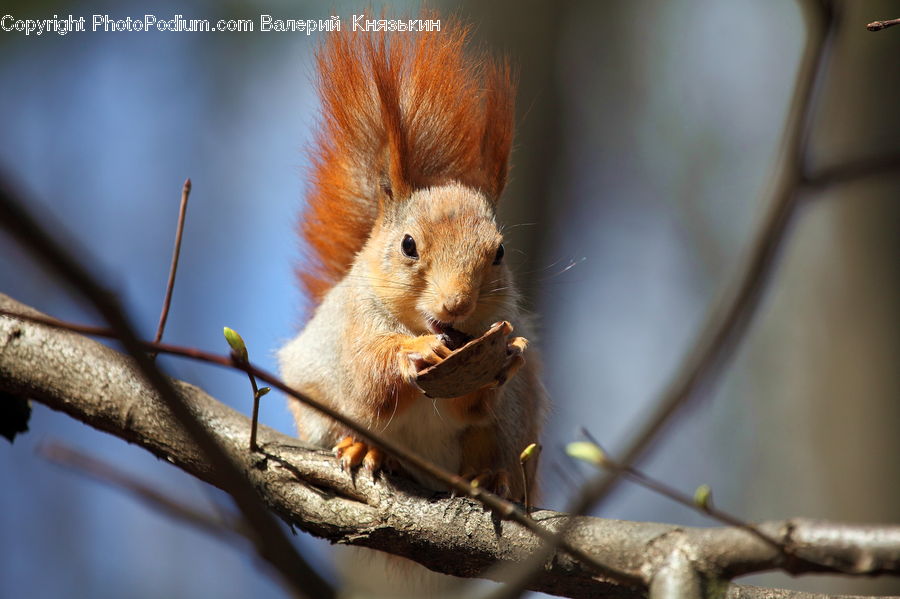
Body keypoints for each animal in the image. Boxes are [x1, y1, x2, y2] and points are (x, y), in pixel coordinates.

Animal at [277, 21, 547, 503]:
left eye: (498, 253)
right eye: (408, 245)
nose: (457, 304)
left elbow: (471, 404)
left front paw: (505, 362)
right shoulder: (356, 324)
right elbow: (369, 379)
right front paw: (416, 351)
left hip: (513, 428)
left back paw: (489, 478)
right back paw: (366, 449)